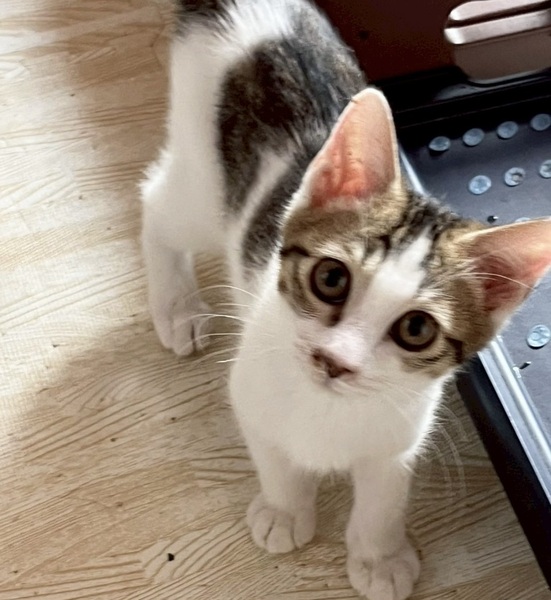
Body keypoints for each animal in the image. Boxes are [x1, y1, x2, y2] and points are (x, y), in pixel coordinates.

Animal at [140, 1, 551, 598]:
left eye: (416, 330)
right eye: (330, 278)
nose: (335, 361)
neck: (328, 408)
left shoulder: (397, 438)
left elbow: (382, 499)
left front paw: (378, 557)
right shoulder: (250, 395)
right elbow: (276, 459)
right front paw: (285, 511)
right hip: (202, 178)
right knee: (156, 202)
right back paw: (177, 307)